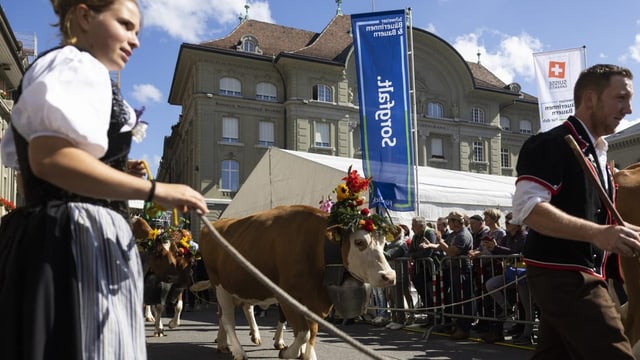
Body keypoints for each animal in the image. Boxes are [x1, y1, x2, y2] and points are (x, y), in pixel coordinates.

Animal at [200, 205, 398, 360]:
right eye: (358, 242)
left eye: (384, 243)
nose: (389, 276)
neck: (317, 247)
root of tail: (219, 223)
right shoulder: (288, 296)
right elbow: (303, 333)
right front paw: (288, 352)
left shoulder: (315, 301)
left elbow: (312, 331)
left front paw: (307, 354)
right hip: (220, 285)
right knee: (227, 318)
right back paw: (238, 350)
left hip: (243, 285)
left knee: (240, 309)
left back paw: (229, 342)